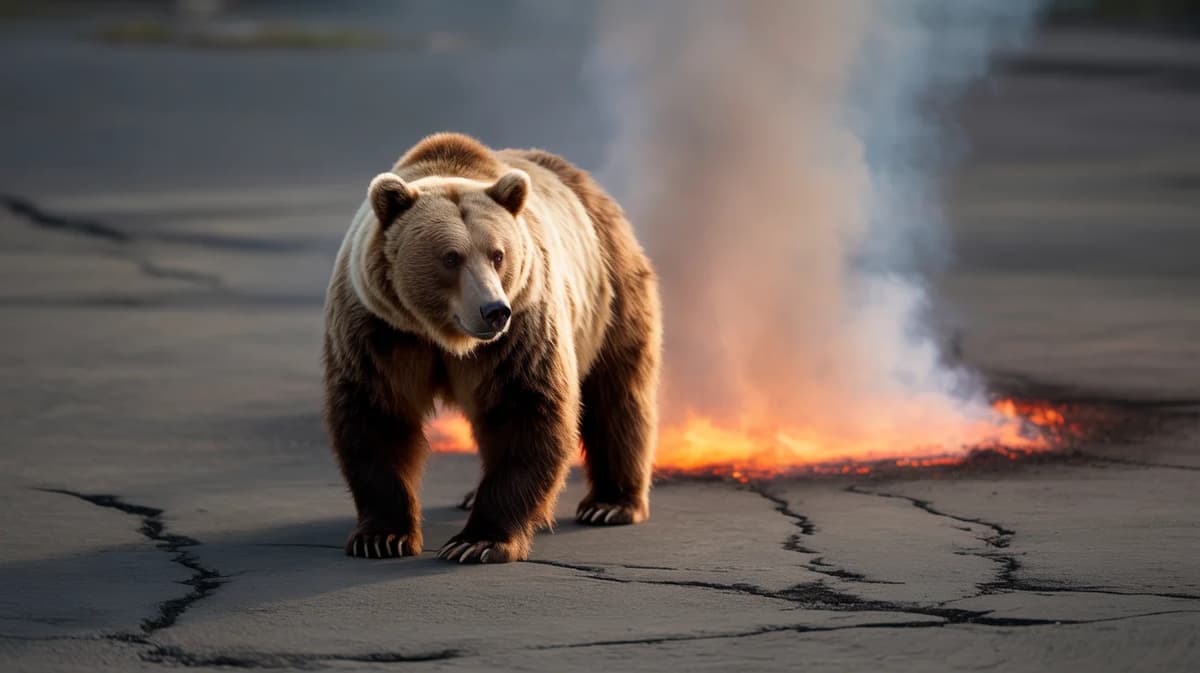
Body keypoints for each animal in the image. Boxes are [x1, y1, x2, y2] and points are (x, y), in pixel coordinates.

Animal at [323, 132, 662, 563]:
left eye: (498, 254)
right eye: (450, 257)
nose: (494, 310)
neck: (444, 336)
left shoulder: (523, 329)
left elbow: (526, 410)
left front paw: (478, 541)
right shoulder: (380, 329)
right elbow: (377, 414)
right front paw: (382, 536)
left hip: (610, 292)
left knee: (617, 393)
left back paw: (611, 503)